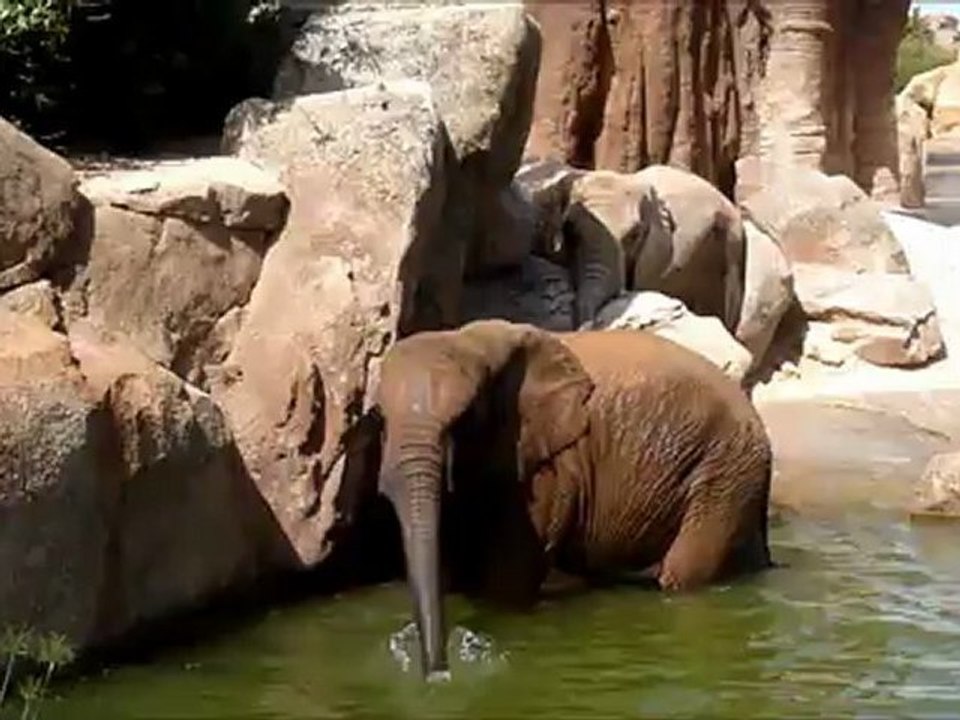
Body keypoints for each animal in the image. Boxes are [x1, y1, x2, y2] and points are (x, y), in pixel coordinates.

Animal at [375, 318, 773, 681]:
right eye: (379, 417)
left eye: (464, 416)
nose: (438, 675)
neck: (466, 340)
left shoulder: (550, 464)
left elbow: (511, 577)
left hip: (725, 470)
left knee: (683, 571)